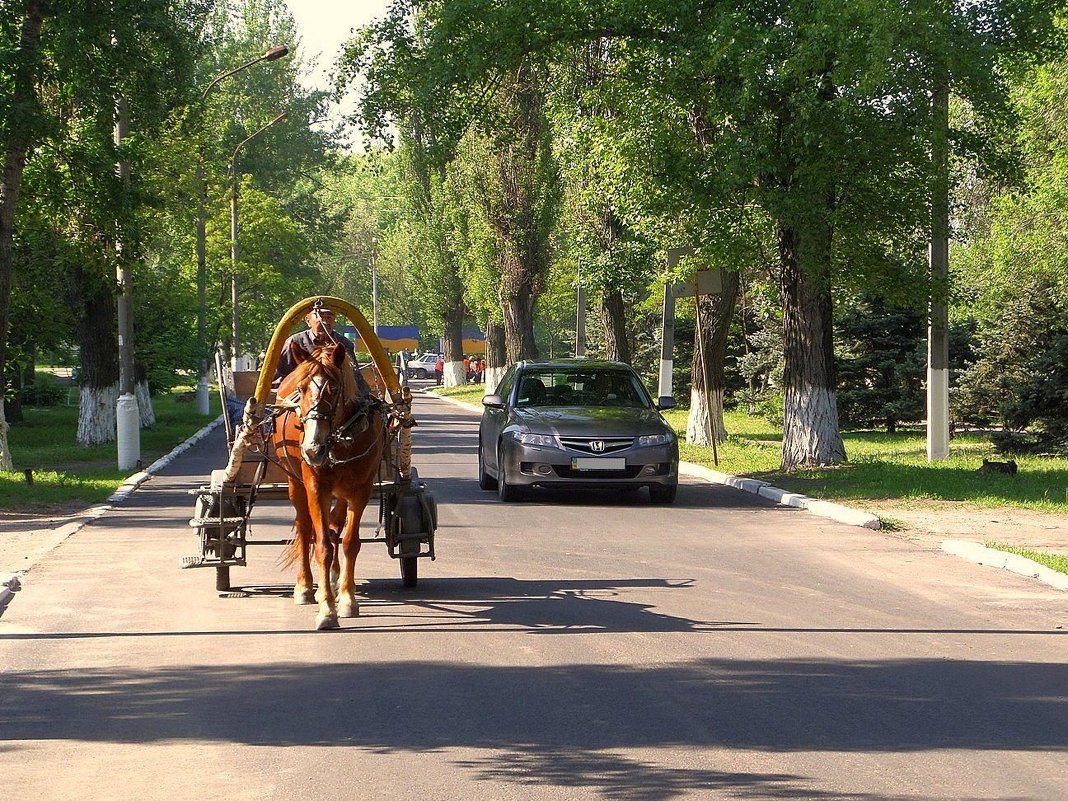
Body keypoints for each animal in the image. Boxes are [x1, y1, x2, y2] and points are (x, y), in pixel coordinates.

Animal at [271, 341, 384, 632]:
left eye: (333, 389)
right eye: (301, 389)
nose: (313, 448)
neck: (339, 440)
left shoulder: (361, 488)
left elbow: (349, 543)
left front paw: (347, 599)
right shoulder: (316, 486)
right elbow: (321, 545)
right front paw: (326, 610)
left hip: (342, 492)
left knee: (335, 526)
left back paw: (333, 578)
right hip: (295, 481)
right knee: (304, 527)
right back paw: (305, 587)